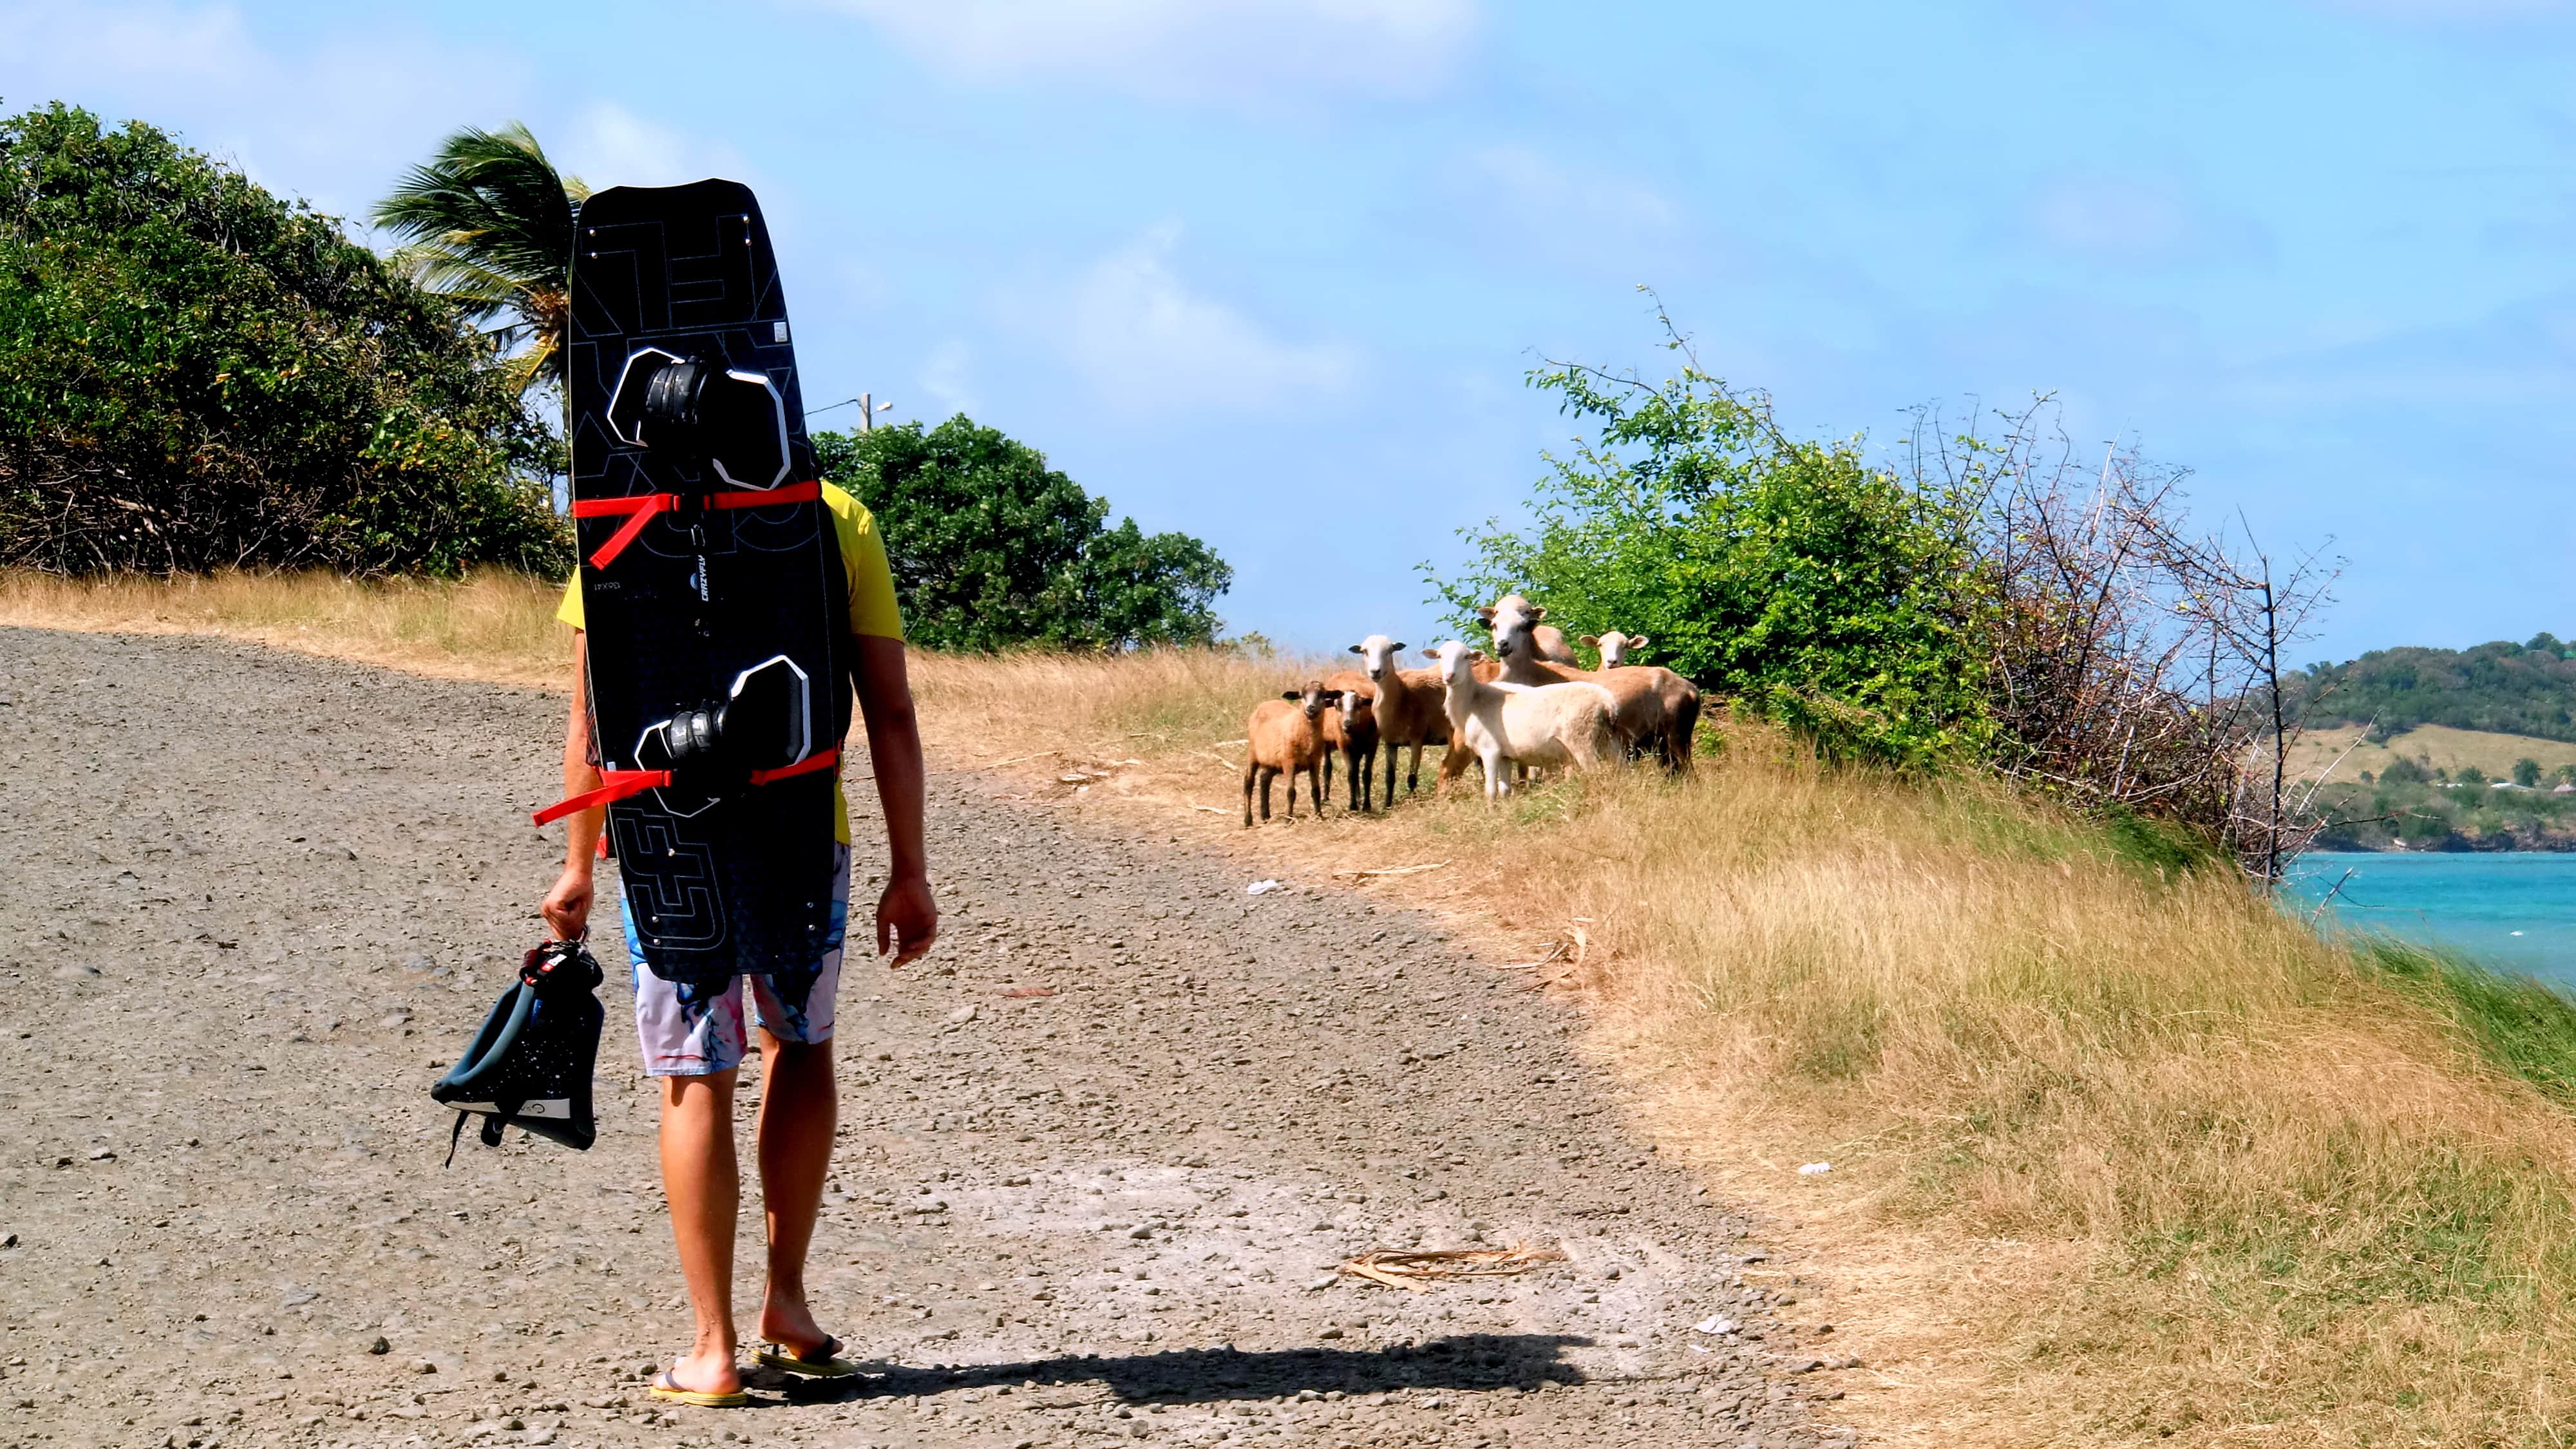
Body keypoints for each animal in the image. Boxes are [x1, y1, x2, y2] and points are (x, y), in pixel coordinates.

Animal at [1242, 675, 1340, 825]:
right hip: (1253, 753)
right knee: (1248, 782)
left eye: (1323, 695)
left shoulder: (1315, 762)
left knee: (1264, 779)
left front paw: (1319, 815)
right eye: (1302, 695)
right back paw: (1248, 820)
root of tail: (1264, 704)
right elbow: (1291, 792)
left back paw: (1265, 815)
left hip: (1273, 759)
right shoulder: (1289, 762)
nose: (1311, 709)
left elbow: (1316, 791)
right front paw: (1288, 818)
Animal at [1350, 631, 1453, 804]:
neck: (1402, 695)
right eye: (1364, 651)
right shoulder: (1390, 743)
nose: (1375, 671)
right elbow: (1389, 777)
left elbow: (1412, 777)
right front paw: (1387, 805)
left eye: (1390, 650)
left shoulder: (1417, 739)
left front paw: (1411, 801)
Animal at [1422, 639, 1618, 799]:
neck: (1472, 701)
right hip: (1608, 741)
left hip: (1582, 739)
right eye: (1440, 657)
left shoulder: (1490, 750)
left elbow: (1490, 792)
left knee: (1597, 774)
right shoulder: (1505, 756)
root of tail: (1608, 702)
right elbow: (1504, 790)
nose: (1449, 677)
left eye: (1466, 657)